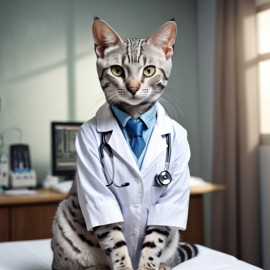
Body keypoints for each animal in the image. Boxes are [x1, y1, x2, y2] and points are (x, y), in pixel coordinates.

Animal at [51, 17, 198, 268]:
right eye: (117, 70)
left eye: (149, 70)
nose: (133, 87)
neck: (135, 117)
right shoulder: (98, 191)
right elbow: (114, 239)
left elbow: (154, 240)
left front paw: (150, 265)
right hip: (64, 223)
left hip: (174, 234)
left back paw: (164, 265)